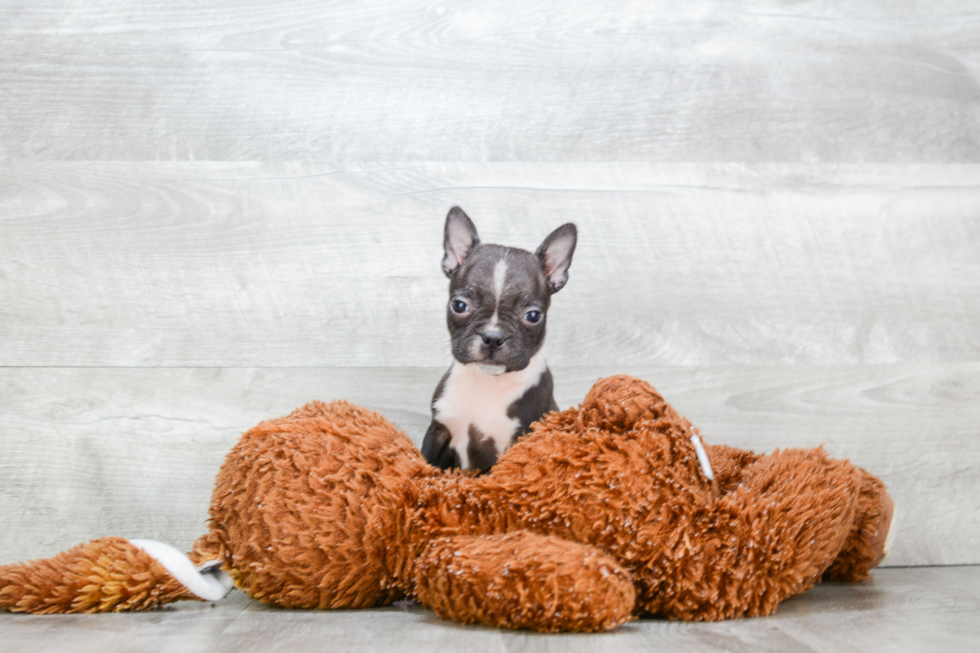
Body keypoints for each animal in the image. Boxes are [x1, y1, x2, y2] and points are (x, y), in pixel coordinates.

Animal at [420, 206, 576, 472]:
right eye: (459, 305)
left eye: (533, 316)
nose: (492, 338)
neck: (487, 382)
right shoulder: (439, 430)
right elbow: (422, 463)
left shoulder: (516, 442)